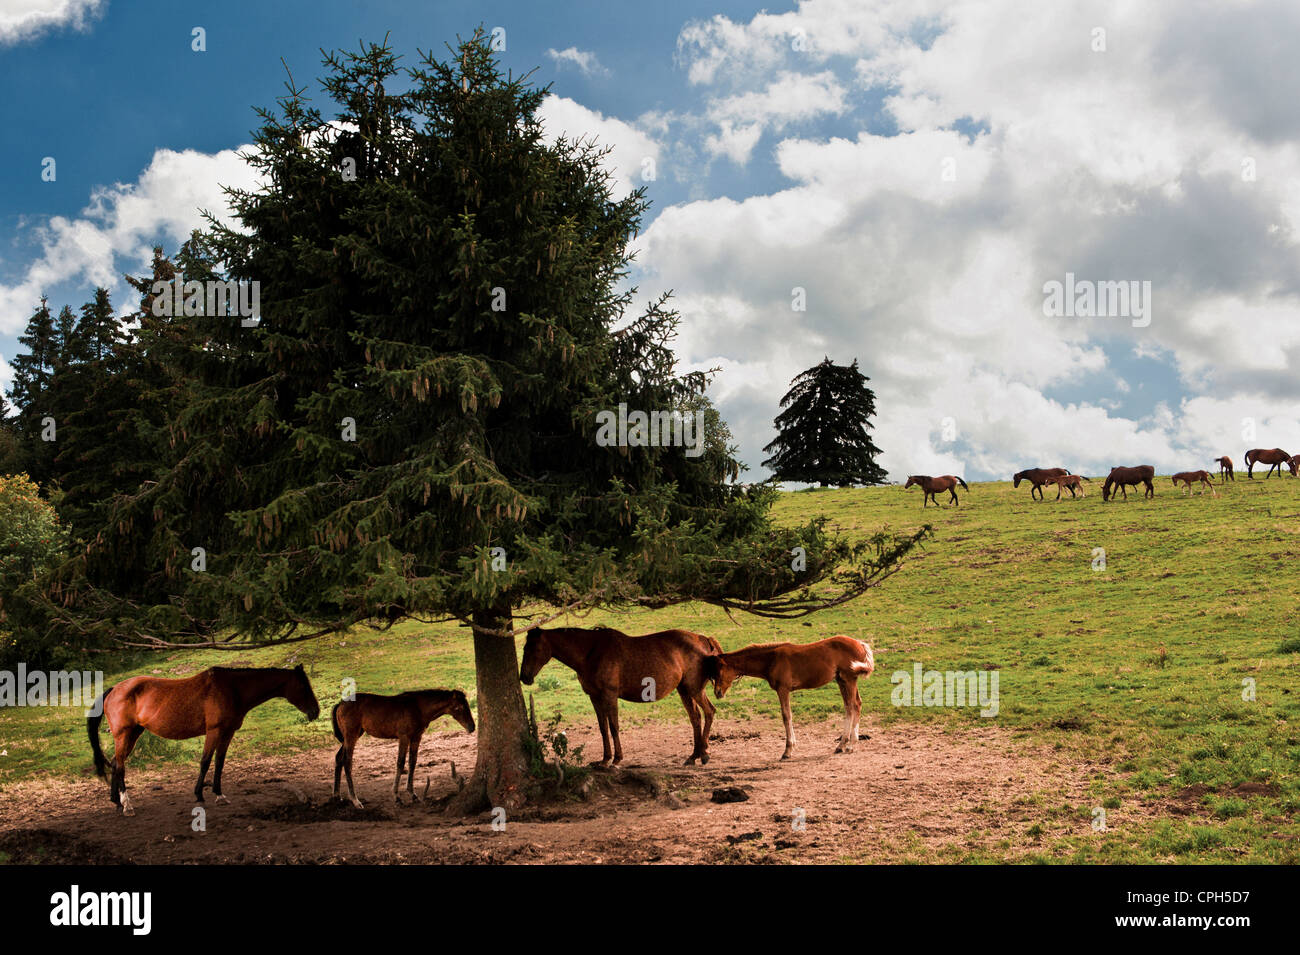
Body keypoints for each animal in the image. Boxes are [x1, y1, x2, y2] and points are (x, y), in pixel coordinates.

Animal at [87, 665, 320, 815]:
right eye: (304, 687)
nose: (315, 712)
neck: (232, 689)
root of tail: (114, 690)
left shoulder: (227, 732)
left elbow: (219, 762)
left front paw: (219, 794)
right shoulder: (214, 731)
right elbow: (205, 761)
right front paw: (199, 794)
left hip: (134, 733)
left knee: (116, 763)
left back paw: (117, 802)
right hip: (124, 735)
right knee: (120, 767)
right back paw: (127, 805)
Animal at [331, 689, 475, 808]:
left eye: (467, 705)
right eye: (459, 707)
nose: (472, 727)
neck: (418, 707)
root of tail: (340, 704)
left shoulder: (416, 737)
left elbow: (412, 762)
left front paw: (413, 794)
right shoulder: (404, 737)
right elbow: (400, 763)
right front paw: (397, 796)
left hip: (352, 736)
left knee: (338, 758)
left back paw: (337, 796)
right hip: (351, 735)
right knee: (347, 762)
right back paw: (355, 800)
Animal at [520, 625, 721, 766]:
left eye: (533, 649)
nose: (524, 677)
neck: (591, 652)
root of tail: (703, 639)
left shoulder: (609, 696)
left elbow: (614, 727)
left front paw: (616, 759)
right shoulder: (594, 697)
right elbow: (603, 728)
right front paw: (604, 759)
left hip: (694, 689)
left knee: (709, 712)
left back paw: (704, 754)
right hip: (684, 690)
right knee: (695, 718)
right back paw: (693, 756)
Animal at [709, 636, 874, 760]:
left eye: (719, 671)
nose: (717, 692)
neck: (772, 659)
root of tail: (859, 643)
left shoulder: (783, 689)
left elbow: (786, 716)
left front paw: (787, 751)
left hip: (849, 679)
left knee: (854, 705)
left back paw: (851, 745)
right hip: (842, 680)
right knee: (851, 706)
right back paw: (841, 745)